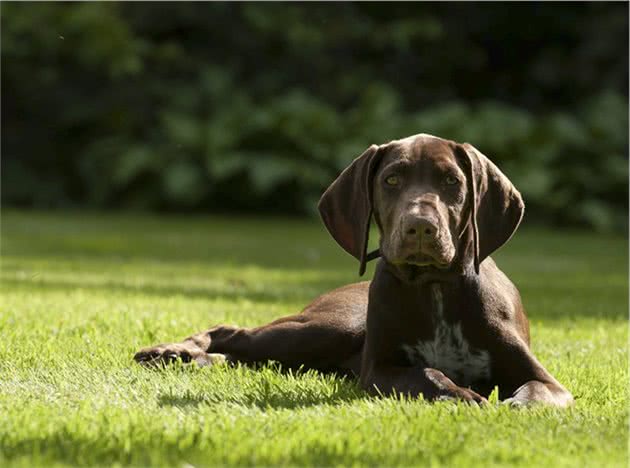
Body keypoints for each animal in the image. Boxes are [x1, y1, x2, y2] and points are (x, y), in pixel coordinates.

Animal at [136, 133, 576, 408]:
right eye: (391, 179)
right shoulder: (380, 370)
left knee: (244, 354)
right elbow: (428, 374)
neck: (435, 287)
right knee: (233, 332)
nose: (421, 227)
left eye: (452, 181)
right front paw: (464, 395)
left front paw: (515, 405)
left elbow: (538, 393)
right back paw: (172, 351)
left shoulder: (547, 380)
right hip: (330, 328)